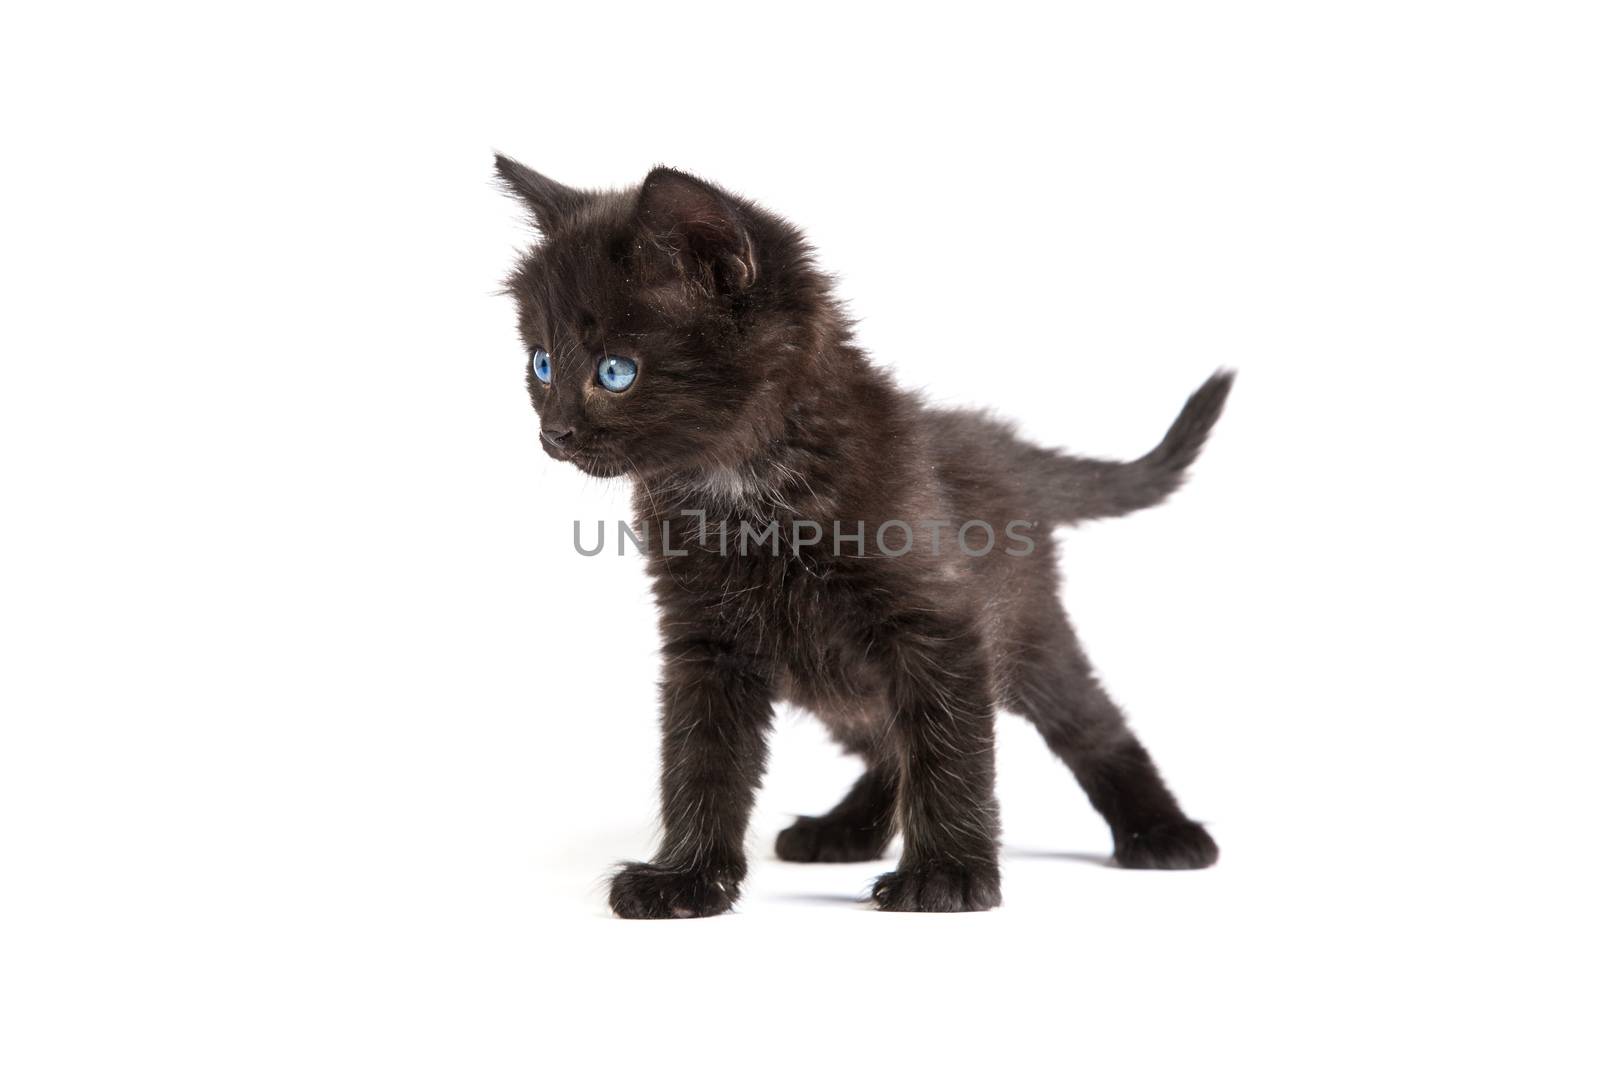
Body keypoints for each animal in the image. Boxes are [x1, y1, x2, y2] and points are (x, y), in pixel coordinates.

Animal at [492, 158, 1228, 921]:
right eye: (541, 364)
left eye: (615, 371)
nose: (553, 434)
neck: (746, 486)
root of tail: (1000, 443)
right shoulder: (706, 641)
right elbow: (700, 758)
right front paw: (687, 877)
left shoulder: (939, 621)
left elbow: (947, 748)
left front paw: (947, 874)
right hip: (836, 684)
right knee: (884, 743)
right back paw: (844, 827)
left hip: (1027, 634)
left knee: (1090, 724)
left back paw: (1162, 832)